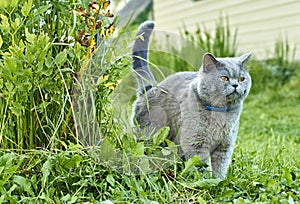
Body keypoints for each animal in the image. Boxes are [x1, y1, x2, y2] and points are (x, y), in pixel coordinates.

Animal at [132, 21, 252, 179]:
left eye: (241, 79)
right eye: (224, 78)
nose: (236, 85)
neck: (220, 115)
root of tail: (150, 88)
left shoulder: (224, 147)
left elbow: (219, 169)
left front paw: (218, 181)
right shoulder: (196, 144)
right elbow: (202, 165)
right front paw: (205, 181)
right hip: (151, 135)